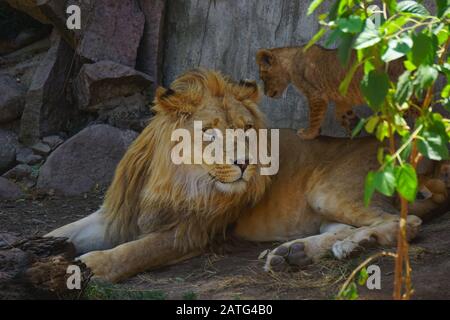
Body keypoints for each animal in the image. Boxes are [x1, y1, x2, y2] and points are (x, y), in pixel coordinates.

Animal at [46, 69, 432, 282]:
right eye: (209, 132)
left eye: (247, 130)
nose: (246, 163)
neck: (175, 180)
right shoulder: (115, 215)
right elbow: (62, 232)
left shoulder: (191, 232)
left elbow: (132, 252)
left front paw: (88, 266)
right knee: (341, 229)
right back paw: (298, 253)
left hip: (330, 191)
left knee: (405, 221)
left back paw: (357, 243)